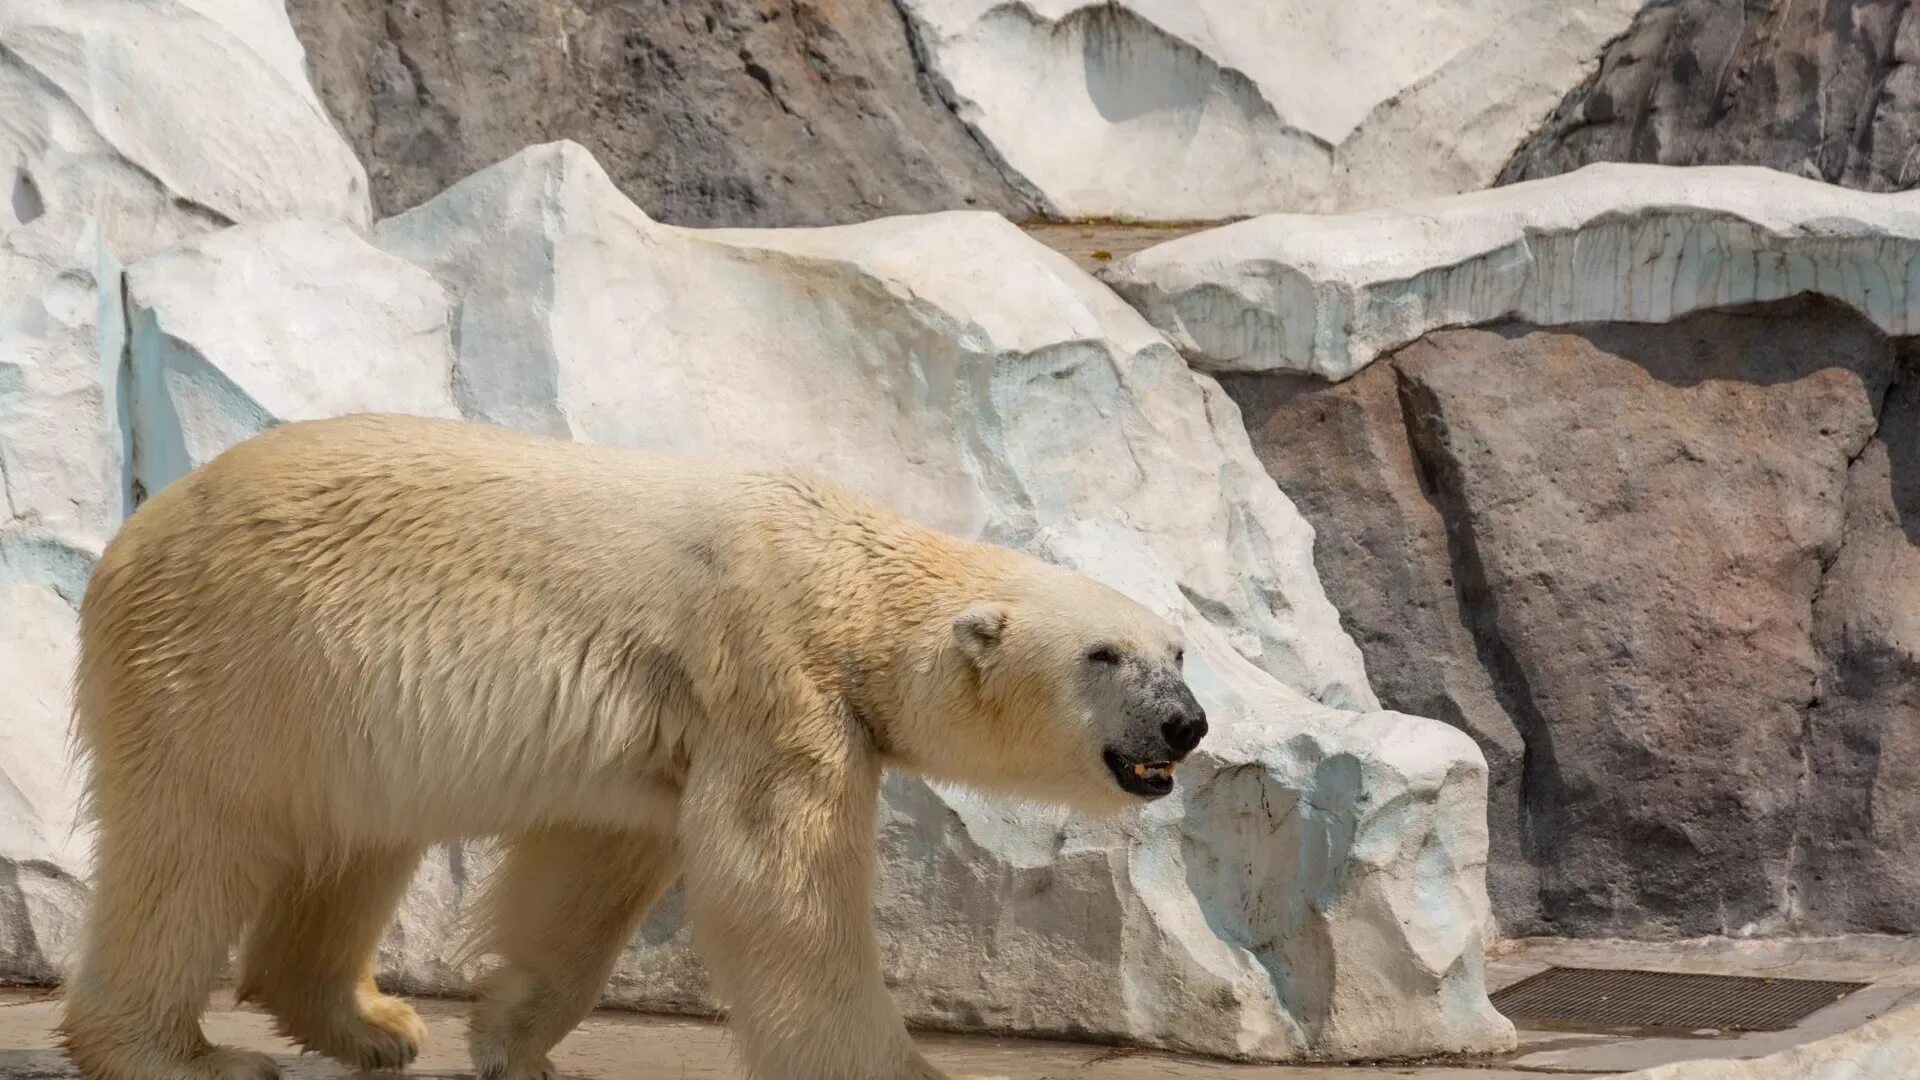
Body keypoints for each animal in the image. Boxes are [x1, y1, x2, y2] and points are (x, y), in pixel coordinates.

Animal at [63, 411, 1213, 1076]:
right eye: (1104, 655)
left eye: (1178, 650)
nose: (1186, 725)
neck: (848, 576)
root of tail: (131, 538)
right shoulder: (774, 678)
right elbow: (777, 890)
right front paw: (901, 1070)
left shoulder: (678, 729)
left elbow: (595, 871)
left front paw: (513, 1040)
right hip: (233, 662)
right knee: (191, 848)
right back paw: (179, 1056)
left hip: (334, 706)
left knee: (354, 845)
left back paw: (374, 1024)